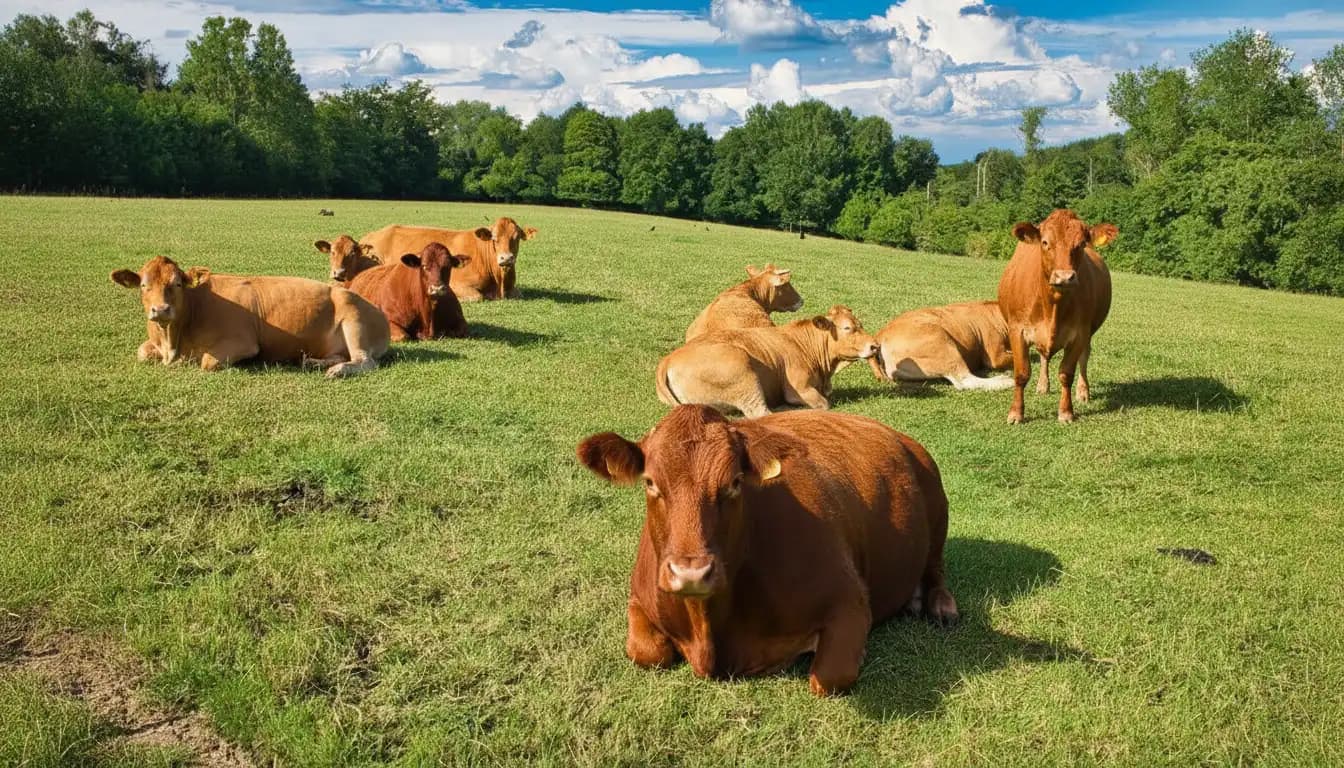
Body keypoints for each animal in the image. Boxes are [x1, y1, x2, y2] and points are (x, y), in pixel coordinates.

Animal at [110, 255, 390, 377]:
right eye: (143, 286)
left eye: (177, 284)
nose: (160, 310)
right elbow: (142, 352)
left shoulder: (243, 343)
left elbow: (206, 362)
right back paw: (312, 362)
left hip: (354, 320)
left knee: (365, 361)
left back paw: (337, 371)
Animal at [360, 217, 537, 301]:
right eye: (494, 238)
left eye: (517, 238)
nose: (506, 258)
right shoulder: (457, 284)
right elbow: (477, 296)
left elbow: (519, 293)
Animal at [576, 405, 958, 696]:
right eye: (650, 482)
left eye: (734, 483)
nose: (691, 573)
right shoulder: (638, 597)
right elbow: (647, 653)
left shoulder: (850, 601)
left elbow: (828, 678)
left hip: (938, 509)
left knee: (936, 568)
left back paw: (937, 605)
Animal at [655, 306, 878, 418]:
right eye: (847, 328)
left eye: (860, 324)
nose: (875, 345)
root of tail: (668, 359)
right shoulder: (800, 388)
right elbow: (824, 403)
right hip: (740, 366)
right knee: (760, 413)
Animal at [997, 209, 1115, 423]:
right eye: (1045, 242)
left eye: (1081, 244)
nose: (1065, 277)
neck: (1052, 306)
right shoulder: (1017, 330)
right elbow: (1021, 373)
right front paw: (1016, 413)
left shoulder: (1080, 334)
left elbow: (1067, 373)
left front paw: (1066, 412)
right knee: (1044, 356)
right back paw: (1043, 385)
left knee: (1084, 358)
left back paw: (1083, 392)